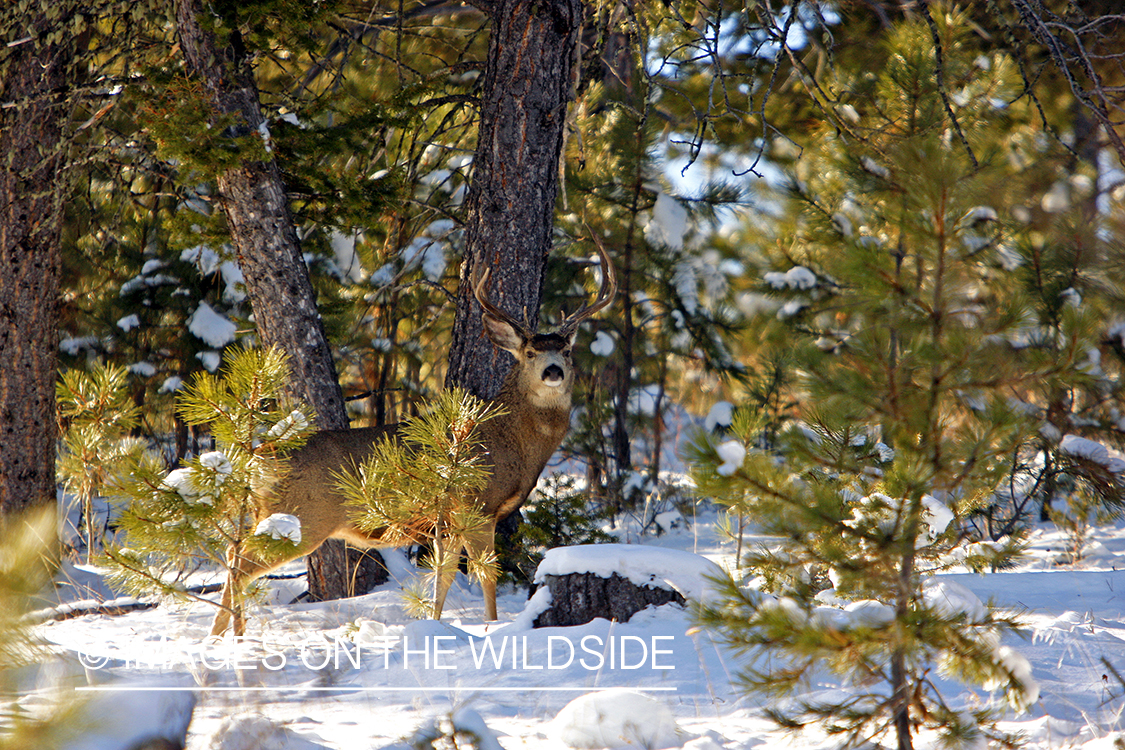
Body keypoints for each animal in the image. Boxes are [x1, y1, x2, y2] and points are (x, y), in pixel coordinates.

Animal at [210, 242, 616, 635]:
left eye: (567, 350)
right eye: (530, 352)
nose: (553, 371)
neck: (513, 440)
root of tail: (258, 458)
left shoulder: (449, 522)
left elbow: (443, 577)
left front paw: (434, 625)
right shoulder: (477, 506)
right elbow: (486, 575)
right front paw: (492, 627)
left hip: (273, 514)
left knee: (233, 558)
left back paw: (224, 636)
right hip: (303, 516)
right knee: (239, 565)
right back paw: (233, 638)